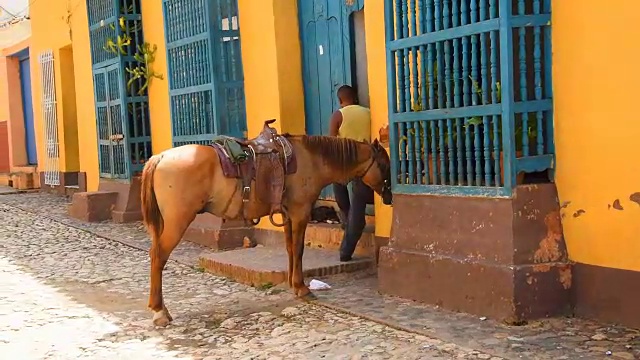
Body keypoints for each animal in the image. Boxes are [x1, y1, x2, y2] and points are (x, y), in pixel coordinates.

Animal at [139, 125, 390, 328]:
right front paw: (302, 288)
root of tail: (160, 157)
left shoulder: (287, 215)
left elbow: (290, 249)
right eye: (384, 164)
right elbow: (299, 249)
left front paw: (293, 284)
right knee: (158, 257)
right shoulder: (300, 213)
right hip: (177, 222)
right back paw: (159, 312)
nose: (388, 197)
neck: (312, 159)